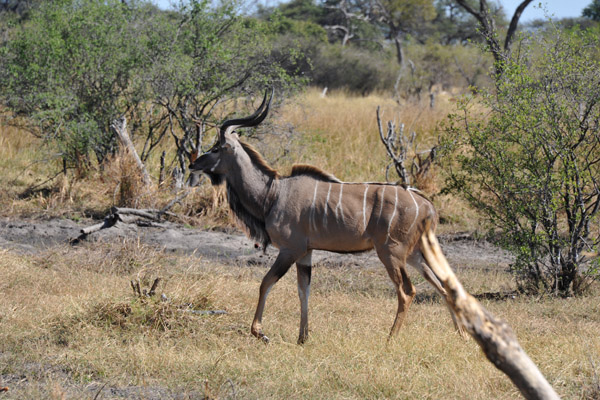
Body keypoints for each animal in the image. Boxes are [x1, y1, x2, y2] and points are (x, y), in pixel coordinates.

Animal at [190, 90, 458, 344]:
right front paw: (302, 338)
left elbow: (266, 282)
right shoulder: (306, 253)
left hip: (391, 253)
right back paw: (461, 335)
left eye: (216, 148)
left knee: (407, 292)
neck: (273, 193)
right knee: (444, 287)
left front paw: (260, 333)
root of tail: (428, 206)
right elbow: (303, 291)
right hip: (414, 255)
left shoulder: (290, 249)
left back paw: (390, 339)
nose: (193, 164)